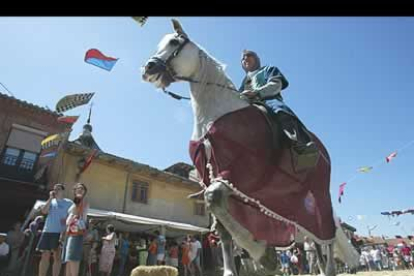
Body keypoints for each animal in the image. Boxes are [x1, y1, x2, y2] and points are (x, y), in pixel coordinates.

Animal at [141, 18, 358, 274]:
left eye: (174, 42)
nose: (149, 68)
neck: (215, 115)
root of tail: (323, 151)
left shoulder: (240, 174)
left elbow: (214, 198)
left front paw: (263, 254)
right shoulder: (215, 179)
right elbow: (221, 225)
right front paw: (237, 266)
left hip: (319, 194)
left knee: (328, 236)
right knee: (315, 239)